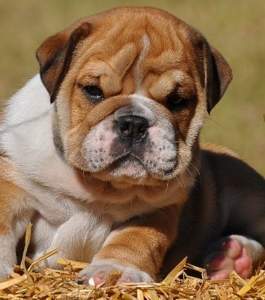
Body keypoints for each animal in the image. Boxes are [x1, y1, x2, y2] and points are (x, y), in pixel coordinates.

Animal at [0, 7, 264, 284]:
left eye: (177, 100)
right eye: (93, 90)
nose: (134, 123)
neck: (100, 189)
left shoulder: (158, 210)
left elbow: (135, 240)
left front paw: (112, 270)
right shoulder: (15, 185)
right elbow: (3, 224)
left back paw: (232, 257)